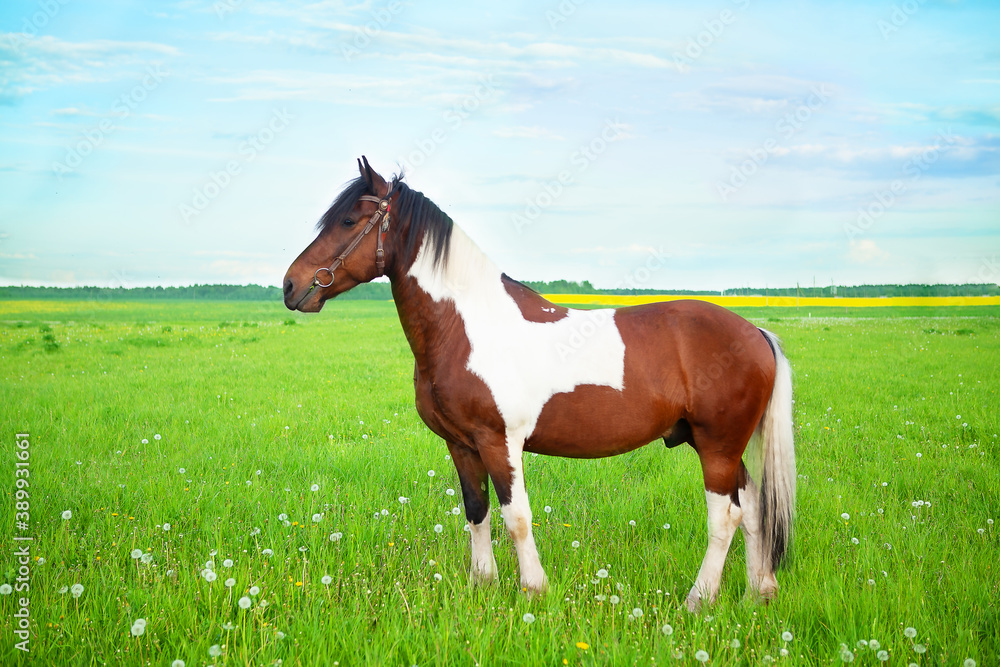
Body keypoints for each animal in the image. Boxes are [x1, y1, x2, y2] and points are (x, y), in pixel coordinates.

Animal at [283, 157, 796, 611]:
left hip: (717, 446)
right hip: (718, 445)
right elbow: (477, 513)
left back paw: (699, 599)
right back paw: (758, 594)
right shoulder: (461, 444)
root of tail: (756, 333)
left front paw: (533, 589)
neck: (466, 327)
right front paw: (482, 585)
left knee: (726, 516)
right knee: (753, 509)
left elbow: (516, 517)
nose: (290, 286)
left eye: (348, 220)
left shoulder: (500, 442)